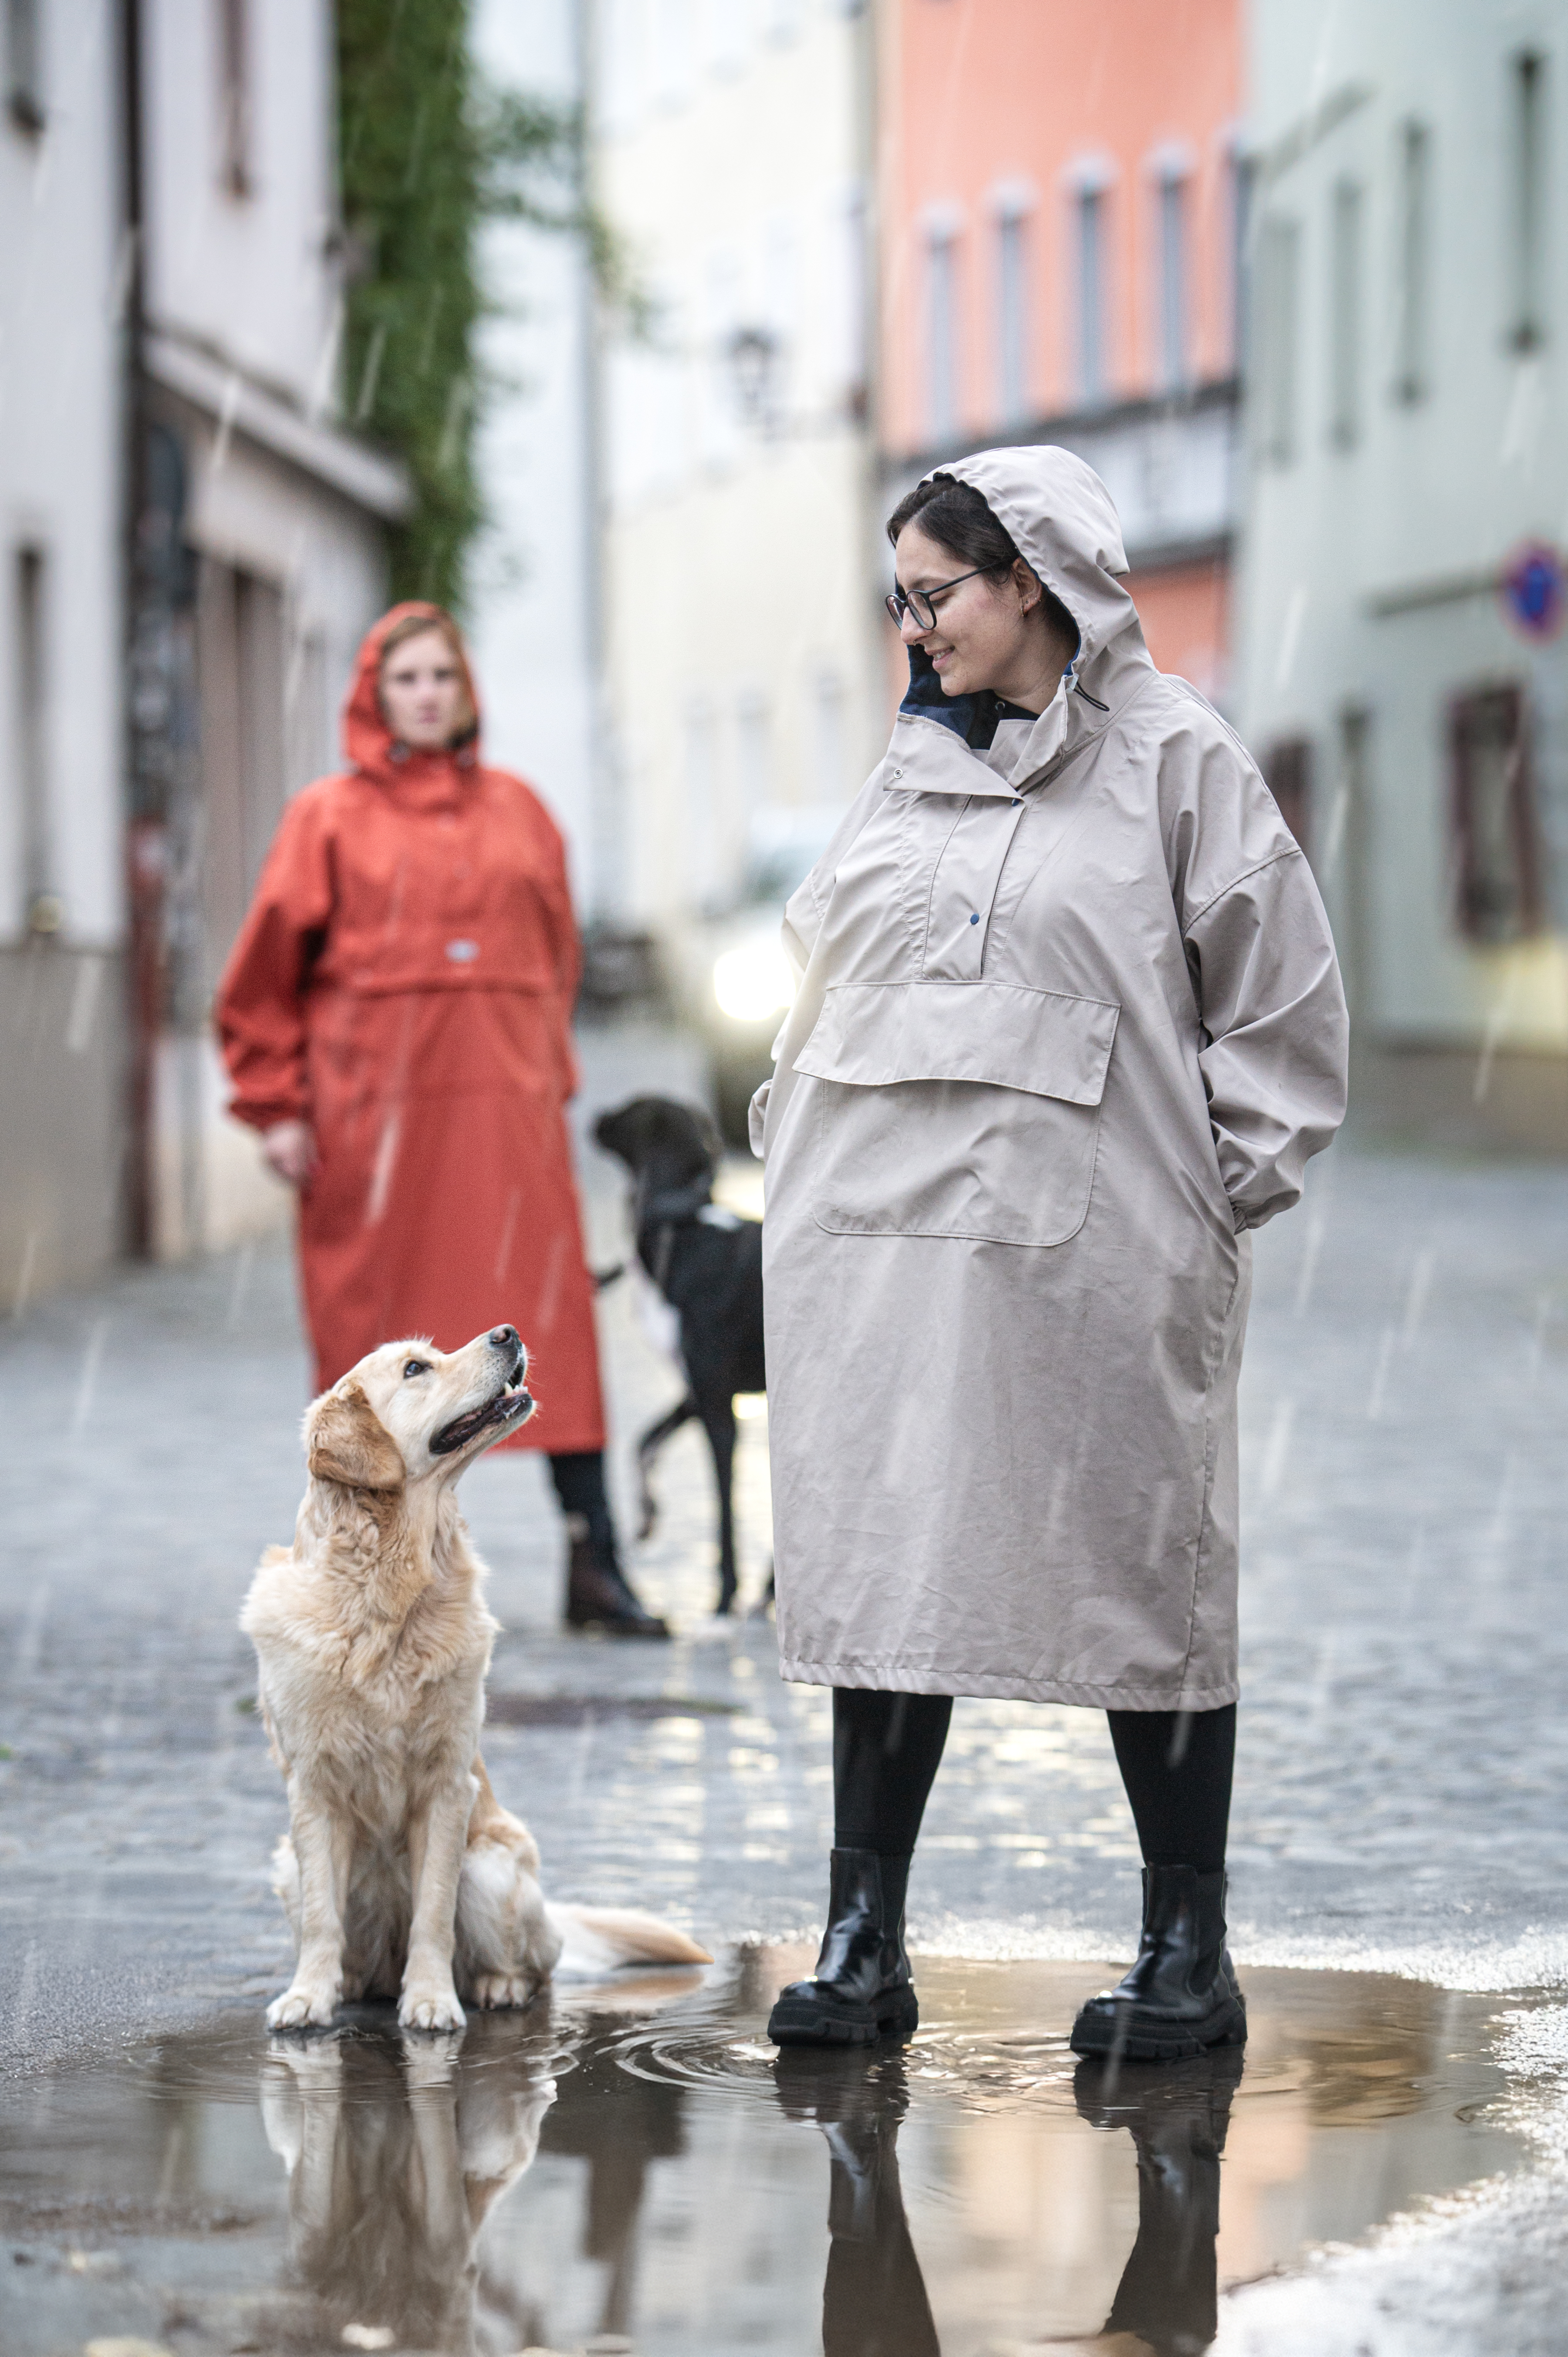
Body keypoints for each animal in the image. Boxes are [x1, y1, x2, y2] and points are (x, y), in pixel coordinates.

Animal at [594, 1089, 764, 1612]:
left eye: (629, 1107)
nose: (596, 1112)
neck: (681, 1225)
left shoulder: (719, 1407)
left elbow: (725, 1511)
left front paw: (725, 1598)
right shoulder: (700, 1390)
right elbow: (643, 1443)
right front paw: (648, 1515)